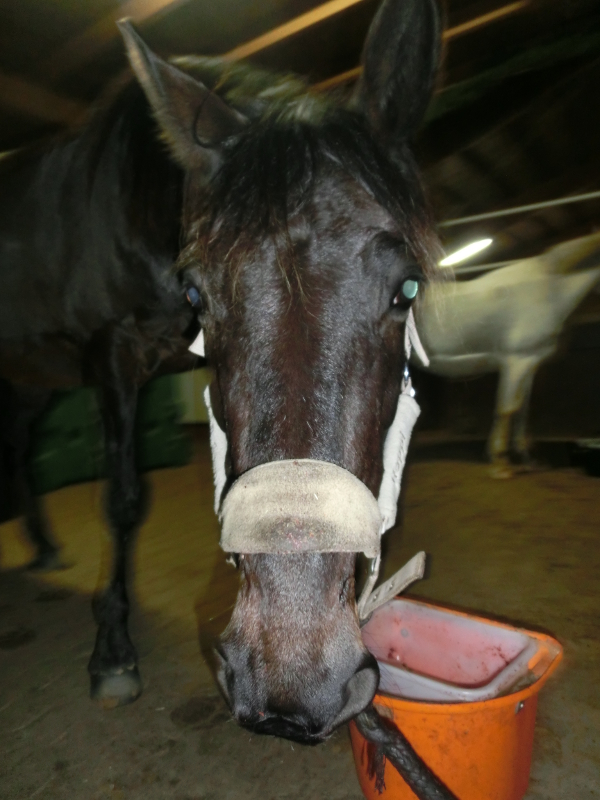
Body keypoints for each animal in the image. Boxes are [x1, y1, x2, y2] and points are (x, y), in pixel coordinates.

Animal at [0, 0, 441, 742]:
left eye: (407, 289)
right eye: (197, 295)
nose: (295, 687)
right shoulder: (111, 353)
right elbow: (123, 500)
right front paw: (113, 654)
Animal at [413, 233, 600, 477]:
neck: (549, 287)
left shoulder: (530, 362)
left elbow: (523, 409)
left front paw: (529, 458)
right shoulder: (515, 361)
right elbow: (507, 409)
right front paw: (500, 462)